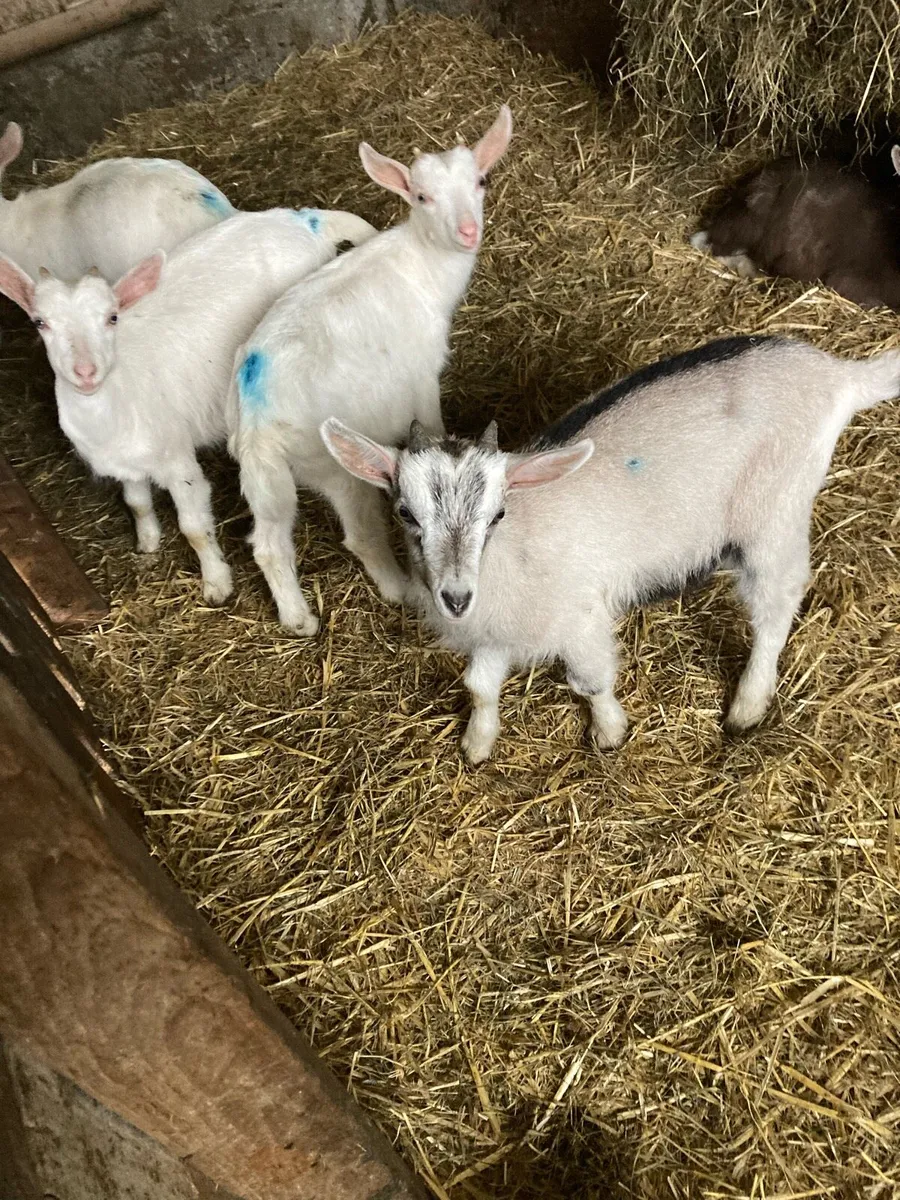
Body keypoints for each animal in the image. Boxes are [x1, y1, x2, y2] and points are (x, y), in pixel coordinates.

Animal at [0, 208, 376, 603]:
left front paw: (217, 584)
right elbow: (137, 502)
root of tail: (304, 218)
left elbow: (194, 528)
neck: (117, 403)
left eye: (112, 317)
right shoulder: (124, 467)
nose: (86, 372)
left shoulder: (177, 462)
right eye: (40, 323)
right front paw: (148, 543)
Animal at [228, 105, 513, 636]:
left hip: (263, 475)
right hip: (334, 467)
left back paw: (298, 620)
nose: (468, 233)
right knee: (359, 534)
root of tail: (256, 421)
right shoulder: (421, 374)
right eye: (421, 197)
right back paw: (397, 588)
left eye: (481, 181)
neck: (422, 261)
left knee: (269, 540)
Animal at [322, 336, 899, 762]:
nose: (456, 597)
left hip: (773, 513)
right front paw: (477, 745)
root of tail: (838, 376)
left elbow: (591, 682)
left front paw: (609, 732)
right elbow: (479, 684)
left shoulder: (580, 618)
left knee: (776, 606)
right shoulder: (500, 627)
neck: (513, 552)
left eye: (498, 515)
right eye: (405, 513)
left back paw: (747, 706)